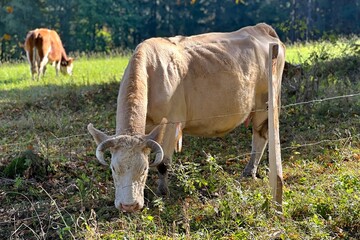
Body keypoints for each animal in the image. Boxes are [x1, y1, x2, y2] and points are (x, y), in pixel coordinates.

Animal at [88, 23, 286, 213]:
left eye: (144, 168)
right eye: (113, 168)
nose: (129, 206)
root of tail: (260, 28)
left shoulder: (171, 123)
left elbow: (163, 162)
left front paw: (162, 193)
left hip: (264, 104)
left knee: (260, 137)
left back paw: (249, 171)